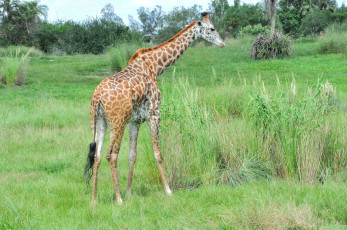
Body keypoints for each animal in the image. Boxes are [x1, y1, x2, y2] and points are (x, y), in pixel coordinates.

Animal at [84, 11, 226, 205]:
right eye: (212, 28)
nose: (222, 43)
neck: (156, 66)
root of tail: (97, 97)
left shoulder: (135, 121)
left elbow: (132, 155)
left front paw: (129, 193)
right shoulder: (154, 114)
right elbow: (158, 153)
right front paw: (168, 190)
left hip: (99, 123)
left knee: (97, 156)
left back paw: (94, 200)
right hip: (117, 122)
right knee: (111, 155)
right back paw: (118, 199)